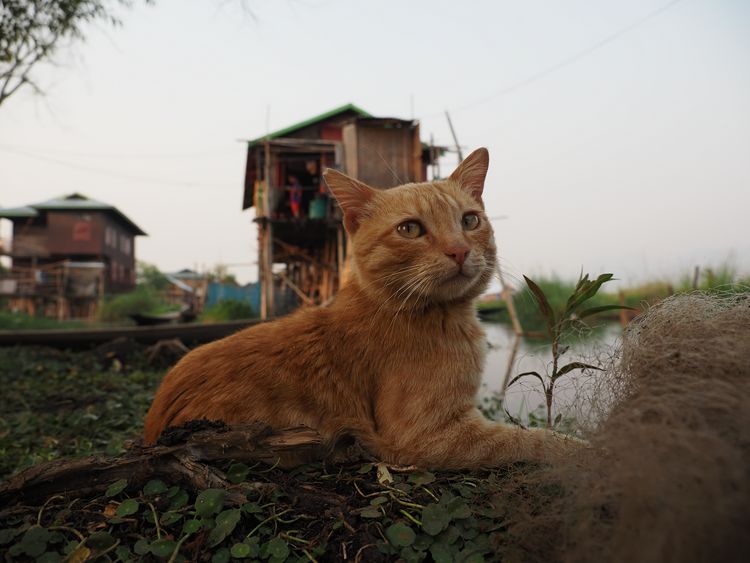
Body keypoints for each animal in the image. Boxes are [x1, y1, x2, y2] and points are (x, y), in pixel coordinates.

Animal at [142, 149, 576, 468]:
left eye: (470, 221)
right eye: (410, 229)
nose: (459, 250)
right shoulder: (427, 435)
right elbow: (533, 440)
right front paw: (582, 450)